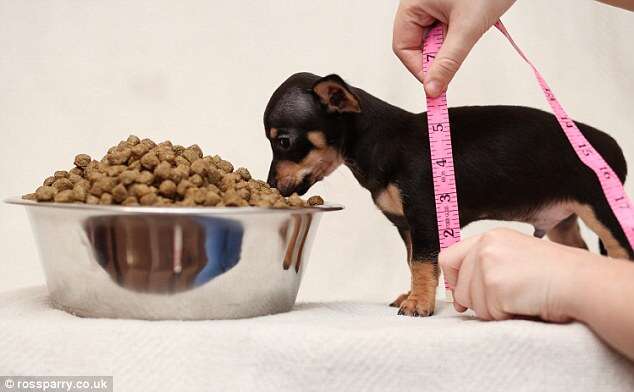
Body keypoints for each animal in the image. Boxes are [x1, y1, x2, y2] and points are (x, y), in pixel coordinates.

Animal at [262, 73, 628, 316]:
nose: (271, 184)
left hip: (602, 210)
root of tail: (611, 144)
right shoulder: (408, 227)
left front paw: (419, 304)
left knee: (619, 251)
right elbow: (413, 262)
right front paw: (412, 295)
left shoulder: (424, 219)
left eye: (284, 141)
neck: (381, 141)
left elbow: (423, 264)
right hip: (563, 222)